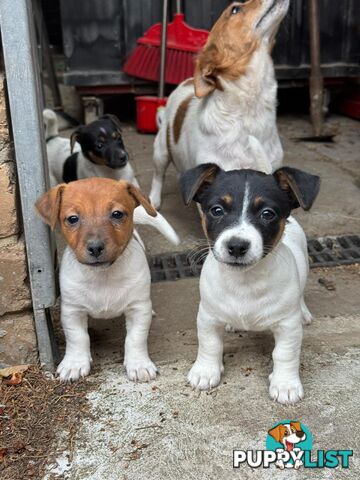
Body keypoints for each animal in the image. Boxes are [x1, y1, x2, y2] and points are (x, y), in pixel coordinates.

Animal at [36, 178, 159, 380]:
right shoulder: (72, 311)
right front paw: (75, 364)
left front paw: (139, 364)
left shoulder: (138, 309)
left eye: (117, 214)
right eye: (72, 219)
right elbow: (78, 338)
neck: (103, 276)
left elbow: (135, 338)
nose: (95, 247)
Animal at [181, 165, 320, 404]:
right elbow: (209, 344)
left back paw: (303, 312)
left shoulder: (288, 326)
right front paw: (205, 371)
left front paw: (285, 384)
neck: (244, 281)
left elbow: (285, 353)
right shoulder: (208, 316)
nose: (236, 246)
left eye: (267, 214)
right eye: (217, 210)